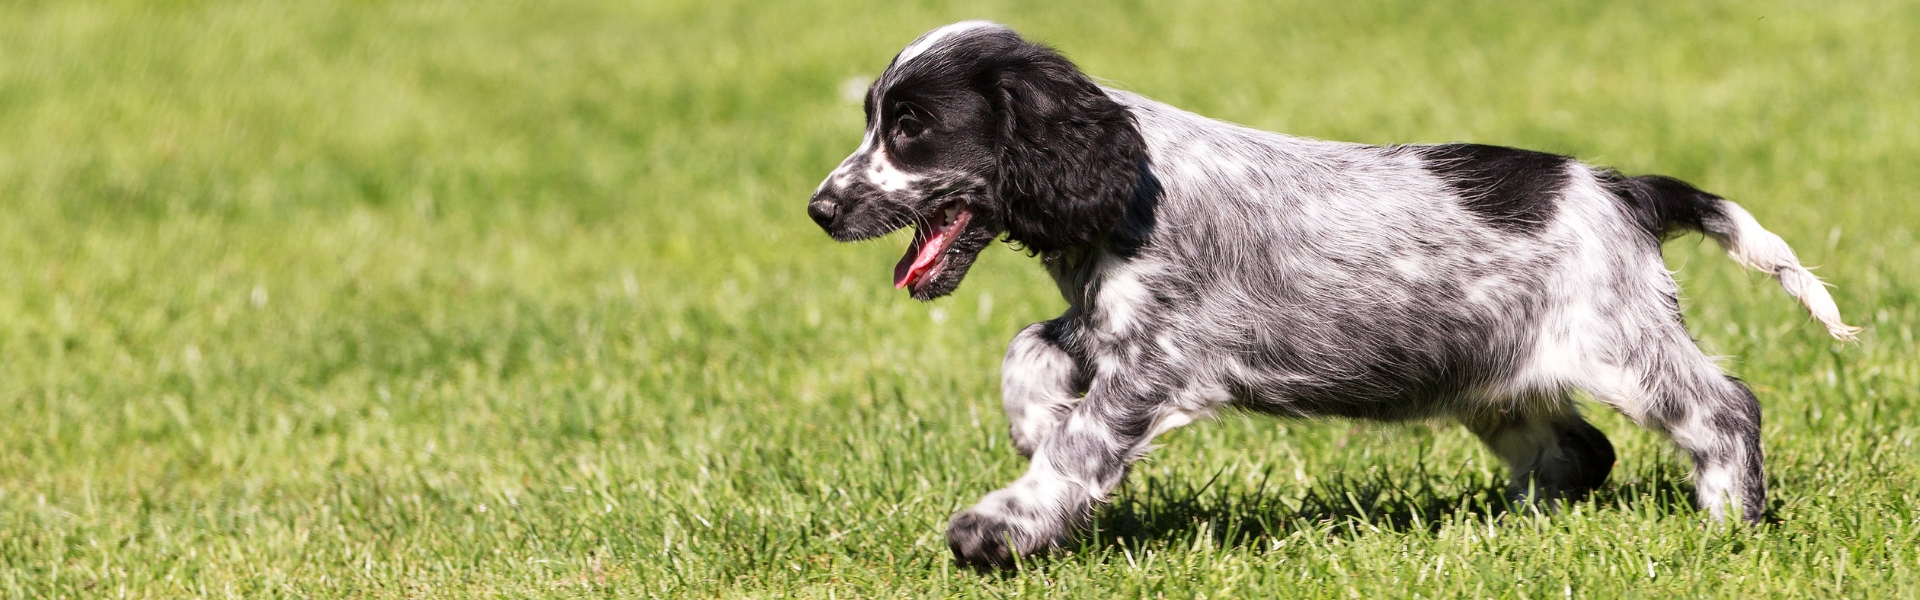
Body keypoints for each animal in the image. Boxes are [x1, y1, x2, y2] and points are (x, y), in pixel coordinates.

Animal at [802, 21, 1850, 569]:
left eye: (911, 128)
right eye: (879, 119)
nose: (819, 208)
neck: (1127, 182)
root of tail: (1623, 187)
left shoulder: (1155, 364)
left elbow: (1079, 445)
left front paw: (1000, 524)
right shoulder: (1104, 326)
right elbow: (1028, 349)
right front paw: (1028, 423)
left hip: (1622, 343)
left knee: (1724, 409)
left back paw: (1730, 521)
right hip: (1492, 375)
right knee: (1580, 451)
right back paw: (1512, 525)